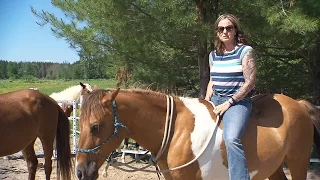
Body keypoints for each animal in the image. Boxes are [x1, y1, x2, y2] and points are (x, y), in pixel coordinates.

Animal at [75, 89, 320, 180]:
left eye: (95, 126)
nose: (80, 171)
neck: (176, 131)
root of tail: (298, 104)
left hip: (298, 162)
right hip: (275, 167)